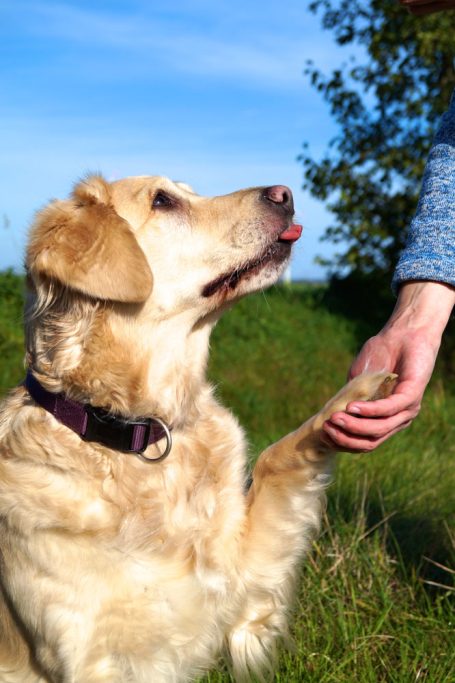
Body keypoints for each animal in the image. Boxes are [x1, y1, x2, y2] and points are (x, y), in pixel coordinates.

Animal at [0, 176, 396, 683]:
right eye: (163, 201)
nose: (285, 194)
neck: (138, 433)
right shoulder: (90, 659)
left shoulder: (240, 586)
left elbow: (276, 457)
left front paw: (358, 393)